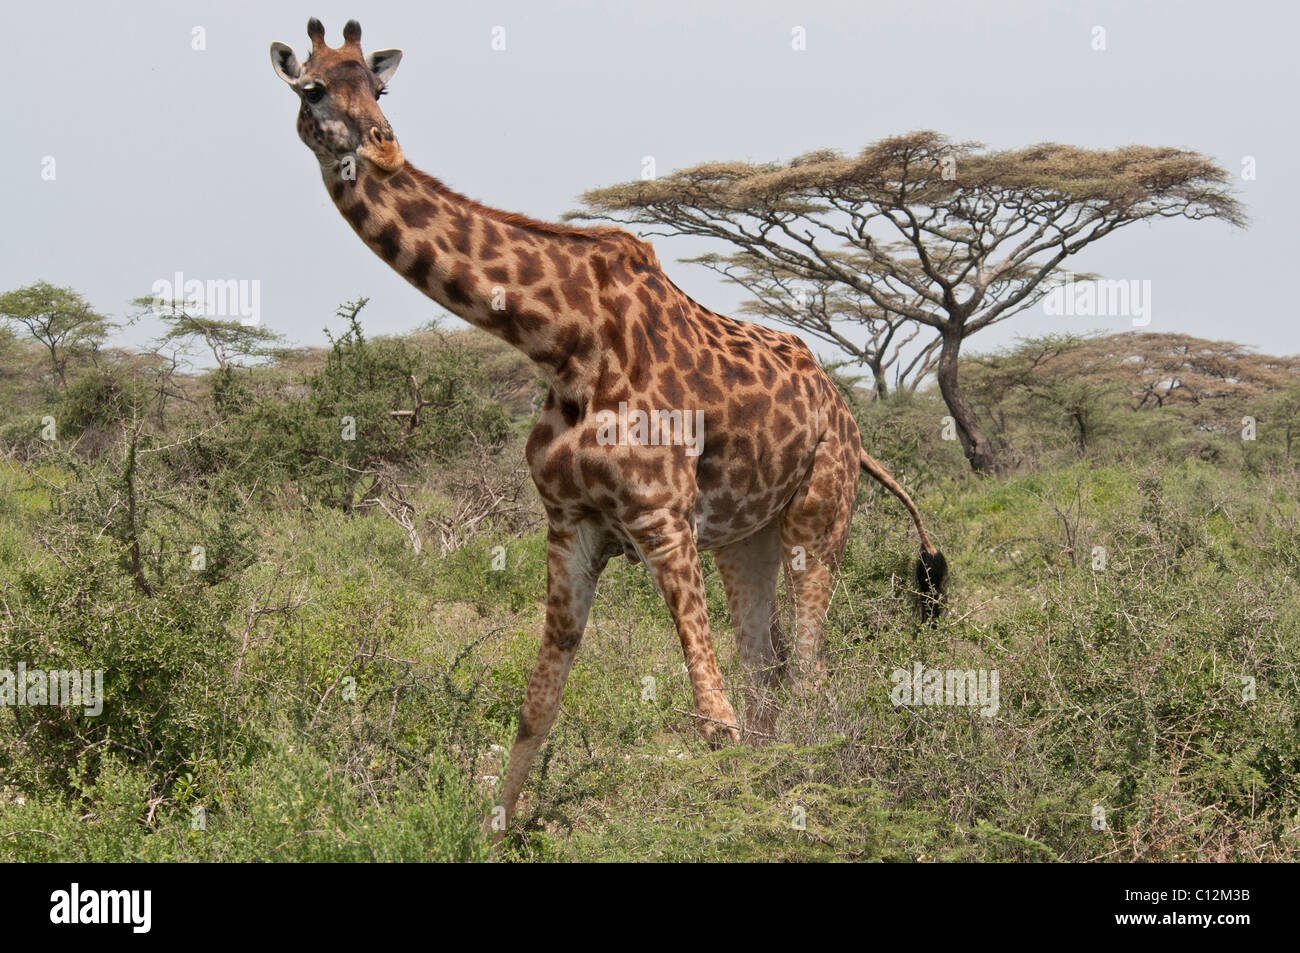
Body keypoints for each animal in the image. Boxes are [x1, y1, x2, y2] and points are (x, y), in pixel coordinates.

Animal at [274, 16, 946, 832]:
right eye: (312, 88)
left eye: (380, 87)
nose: (381, 146)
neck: (559, 339)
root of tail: (848, 418)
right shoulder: (571, 522)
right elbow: (537, 704)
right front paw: (494, 830)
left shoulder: (661, 517)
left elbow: (711, 719)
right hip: (744, 536)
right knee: (767, 669)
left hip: (820, 512)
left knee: (808, 671)